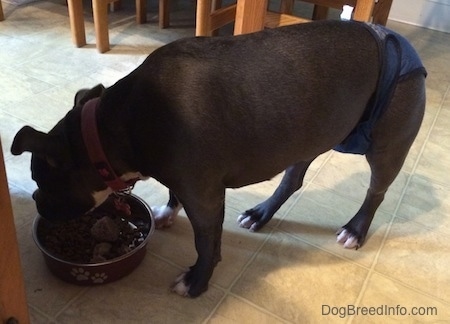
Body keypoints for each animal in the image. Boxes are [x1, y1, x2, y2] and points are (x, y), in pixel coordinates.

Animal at [10, 20, 426, 298]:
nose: (36, 203)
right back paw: (260, 214)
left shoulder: (204, 199)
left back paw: (356, 229)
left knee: (376, 192)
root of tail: (400, 41)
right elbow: (175, 196)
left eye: (40, 181)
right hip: (307, 136)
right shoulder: (190, 185)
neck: (114, 126)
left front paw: (196, 283)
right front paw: (167, 213)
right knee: (292, 180)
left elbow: (206, 245)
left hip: (387, 148)